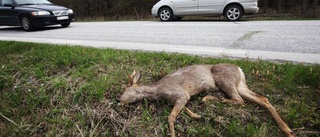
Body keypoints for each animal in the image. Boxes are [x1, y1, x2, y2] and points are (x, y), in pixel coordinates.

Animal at [119, 63, 294, 136]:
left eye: (125, 90)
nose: (119, 101)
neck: (158, 91)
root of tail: (240, 69)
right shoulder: (182, 97)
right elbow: (184, 110)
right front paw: (197, 116)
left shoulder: (181, 93)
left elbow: (171, 116)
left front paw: (173, 134)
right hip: (239, 84)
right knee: (261, 99)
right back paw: (288, 131)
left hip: (224, 79)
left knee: (239, 100)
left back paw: (208, 98)